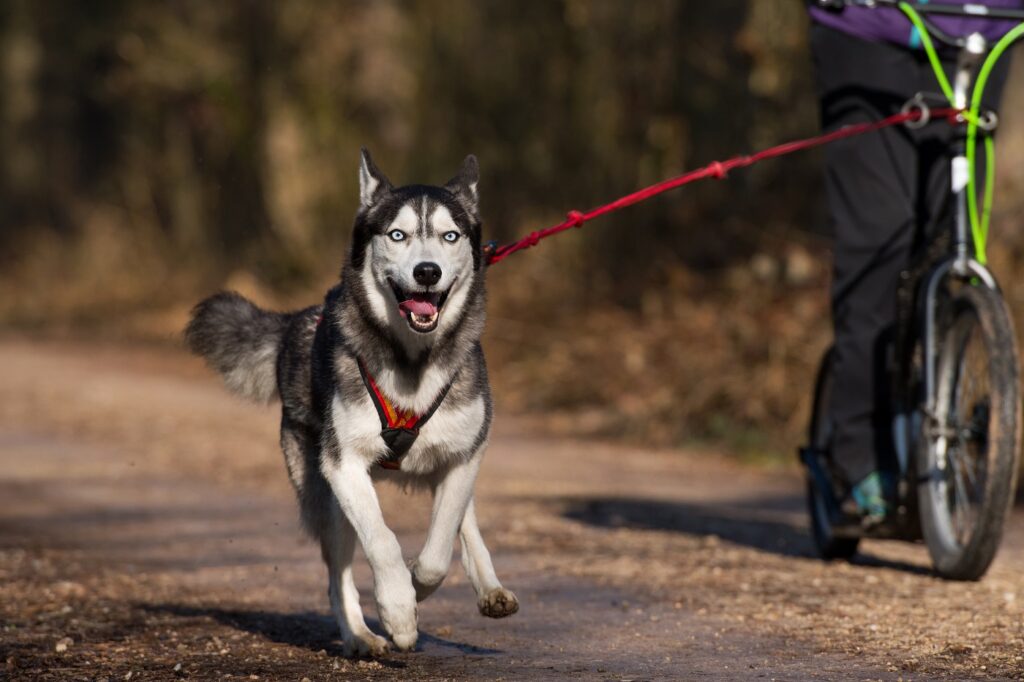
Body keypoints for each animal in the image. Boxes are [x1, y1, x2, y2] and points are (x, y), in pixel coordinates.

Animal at [185, 150, 516, 655]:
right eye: (397, 235)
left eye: (450, 235)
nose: (427, 272)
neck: (411, 362)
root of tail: (298, 323)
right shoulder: (342, 464)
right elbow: (381, 540)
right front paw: (398, 610)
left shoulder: (465, 454)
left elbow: (440, 546)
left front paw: (419, 585)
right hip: (325, 494)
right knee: (338, 575)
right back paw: (360, 635)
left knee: (463, 518)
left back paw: (489, 586)